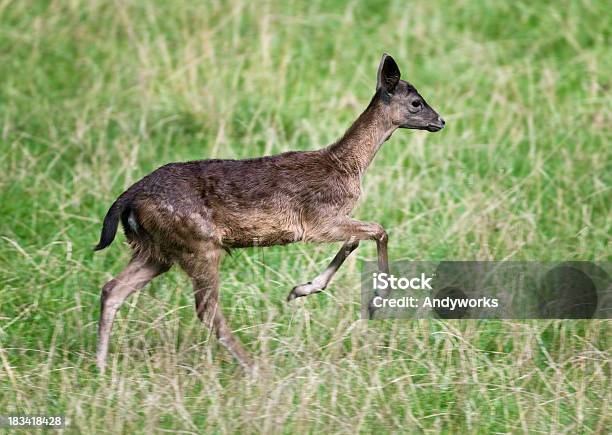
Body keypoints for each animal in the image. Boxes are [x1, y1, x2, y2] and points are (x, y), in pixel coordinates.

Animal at [95, 53, 448, 374]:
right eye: (416, 102)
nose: (441, 121)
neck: (347, 166)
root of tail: (127, 200)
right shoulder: (318, 220)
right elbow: (378, 229)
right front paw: (377, 299)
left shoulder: (328, 222)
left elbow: (357, 239)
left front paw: (302, 289)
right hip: (199, 244)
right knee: (206, 308)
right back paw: (254, 367)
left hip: (157, 250)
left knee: (112, 289)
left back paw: (100, 367)